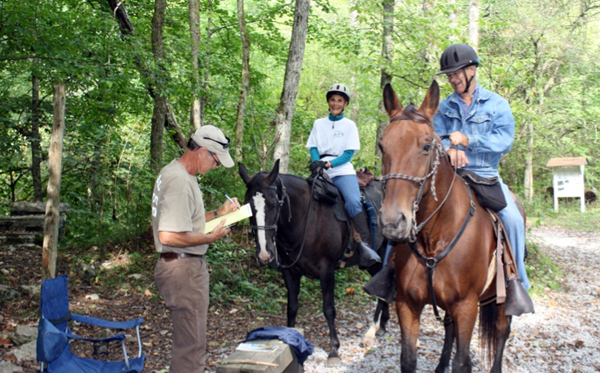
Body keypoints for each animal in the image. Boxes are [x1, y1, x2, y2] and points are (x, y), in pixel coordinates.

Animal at [239, 159, 390, 364]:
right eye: (247, 206)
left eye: (273, 203)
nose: (264, 252)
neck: (306, 220)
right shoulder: (290, 272)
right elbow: (292, 307)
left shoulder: (326, 271)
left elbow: (328, 309)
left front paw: (334, 350)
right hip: (373, 264)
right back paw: (382, 325)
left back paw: (371, 331)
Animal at [380, 82, 510, 372]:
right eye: (382, 146)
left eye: (427, 146)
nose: (392, 222)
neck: (434, 238)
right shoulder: (407, 304)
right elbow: (408, 359)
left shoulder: (467, 307)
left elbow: (462, 362)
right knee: (449, 328)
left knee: (501, 329)